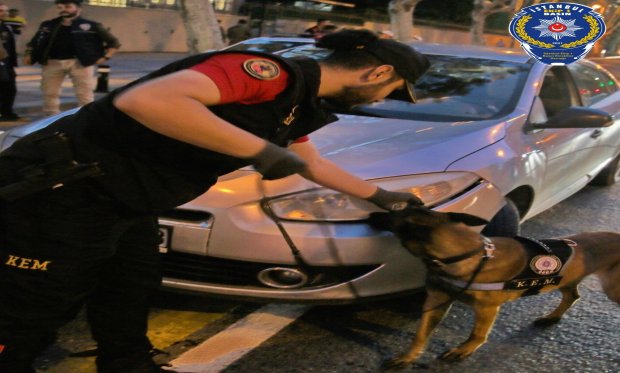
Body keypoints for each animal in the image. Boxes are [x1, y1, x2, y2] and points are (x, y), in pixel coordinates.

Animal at [368, 205, 620, 368]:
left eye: (391, 215)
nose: (371, 213)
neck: (469, 254)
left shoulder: (487, 309)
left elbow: (477, 334)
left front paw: (463, 350)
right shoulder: (436, 300)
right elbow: (420, 333)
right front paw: (408, 356)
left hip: (612, 289)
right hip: (567, 281)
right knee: (572, 295)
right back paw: (552, 317)